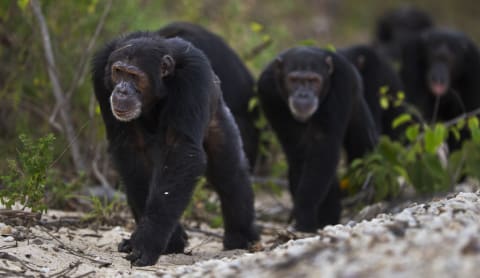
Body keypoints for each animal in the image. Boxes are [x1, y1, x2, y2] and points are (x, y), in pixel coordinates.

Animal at [258, 46, 378, 231]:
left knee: (362, 144)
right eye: (294, 80)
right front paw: (307, 217)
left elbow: (323, 145)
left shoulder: (341, 83)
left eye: (313, 81)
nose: (303, 95)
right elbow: (299, 148)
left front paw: (304, 209)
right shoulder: (267, 90)